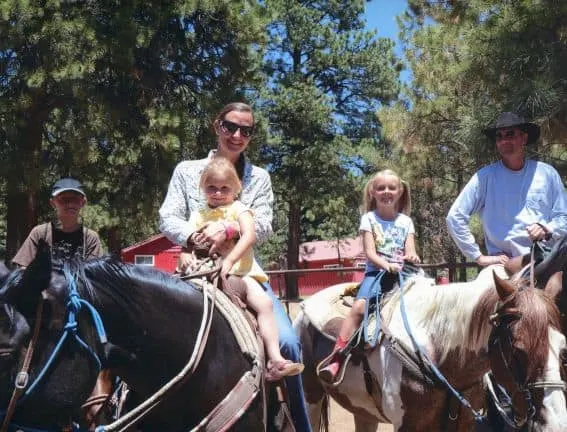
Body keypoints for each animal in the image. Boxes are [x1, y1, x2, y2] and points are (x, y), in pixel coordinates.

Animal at [296, 266, 567, 432]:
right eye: (517, 349)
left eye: (563, 349)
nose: (556, 423)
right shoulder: (408, 425)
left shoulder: (464, 423)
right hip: (310, 397)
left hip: (364, 412)